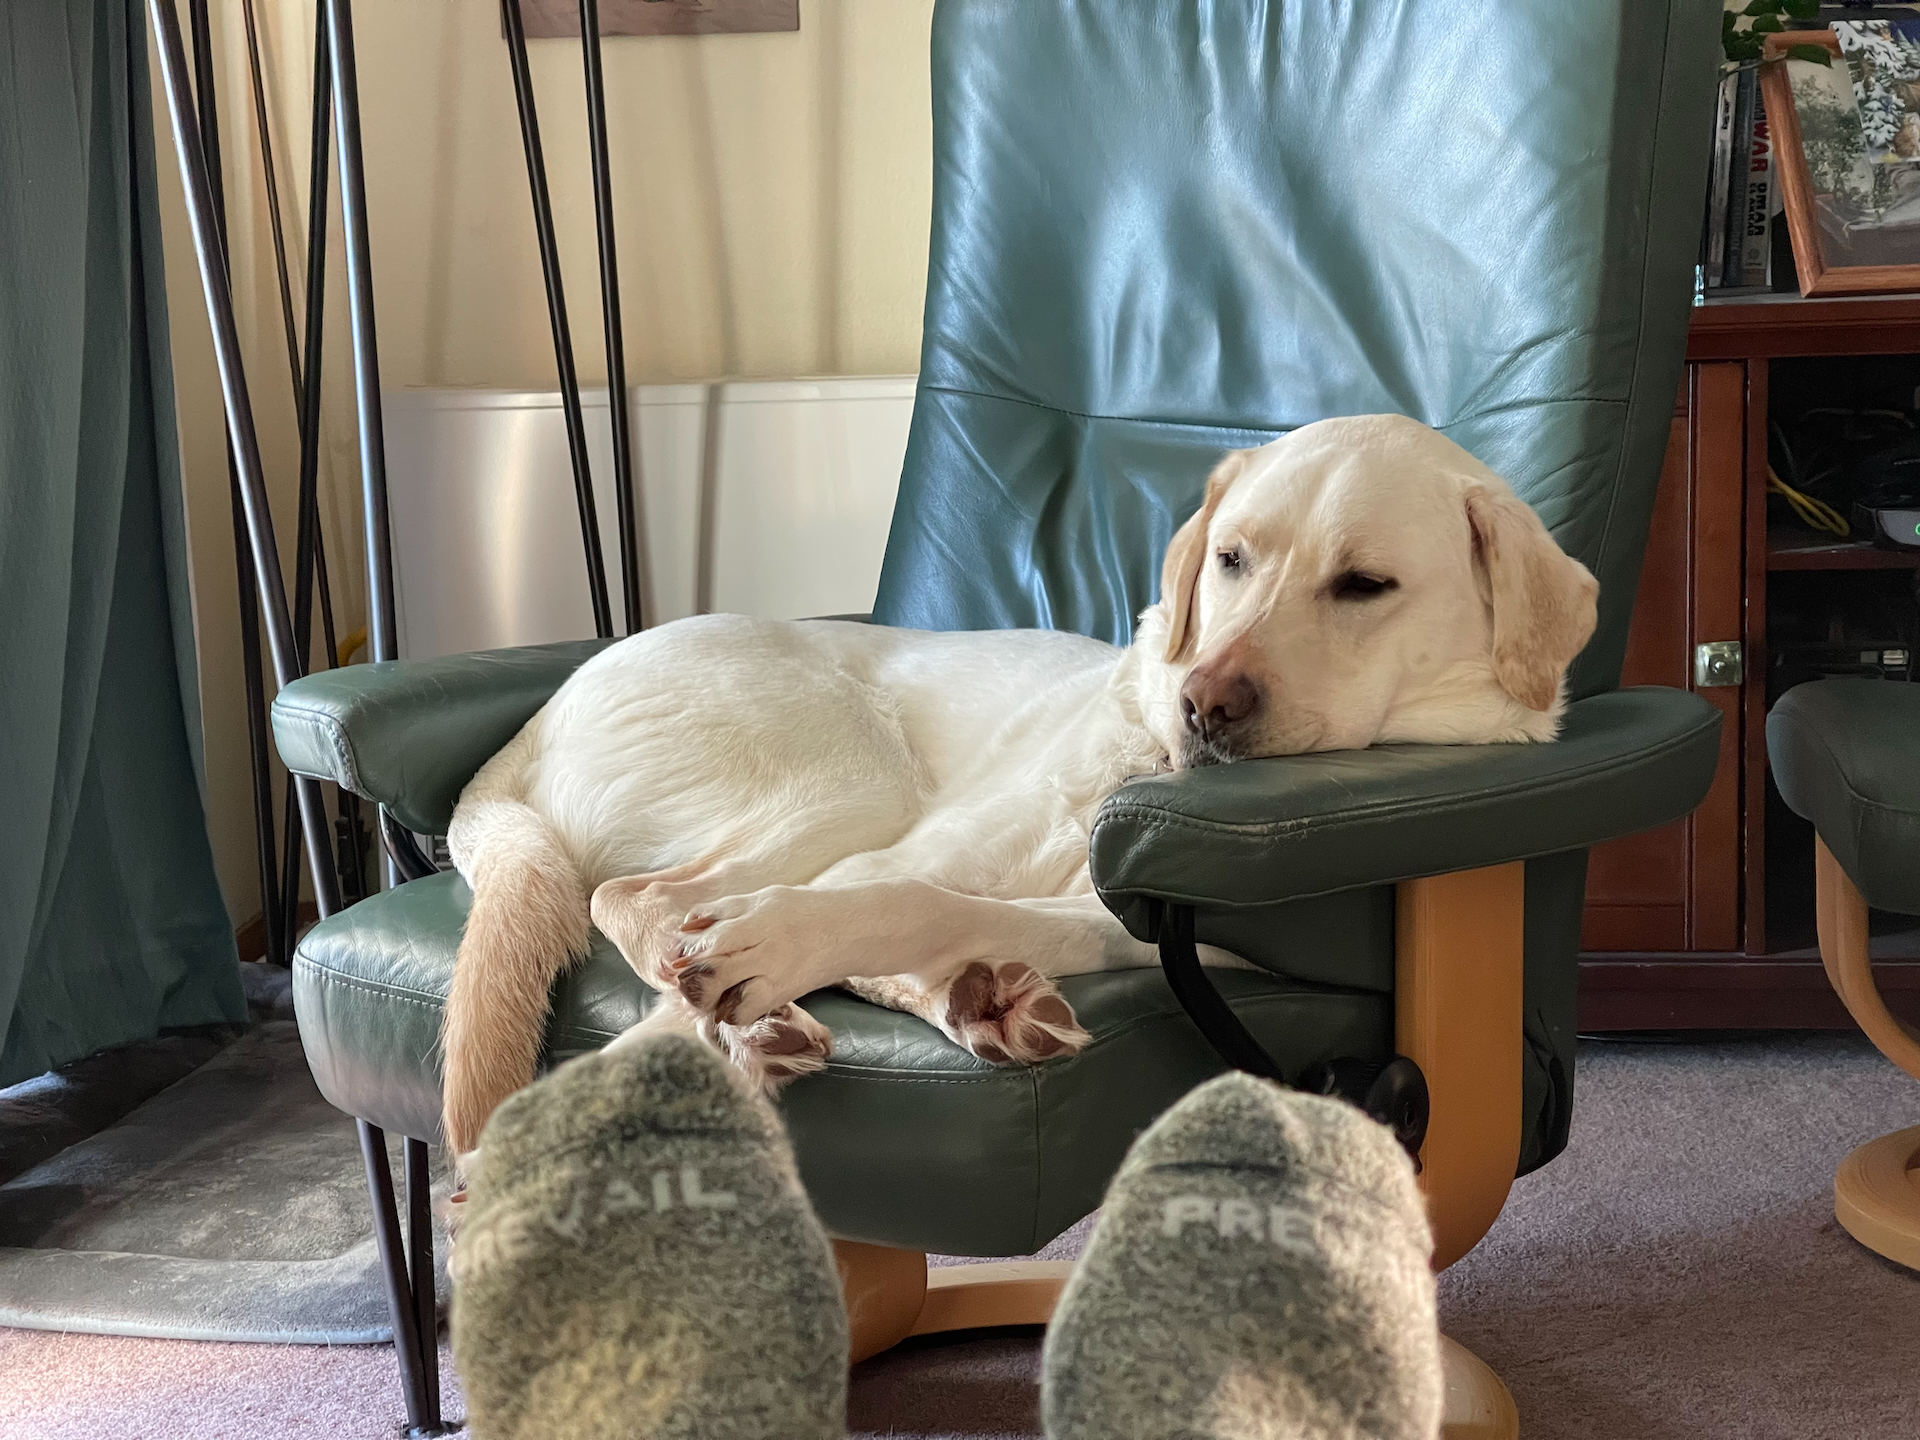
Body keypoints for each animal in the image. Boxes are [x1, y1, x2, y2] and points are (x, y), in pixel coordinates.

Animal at [438, 414, 1599, 1154]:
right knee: (634, 898)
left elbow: (931, 916)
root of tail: (537, 718)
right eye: (1231, 559)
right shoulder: (882, 863)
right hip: (854, 779)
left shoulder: (1152, 941)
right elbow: (868, 908)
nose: (1204, 705)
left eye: (1365, 585)